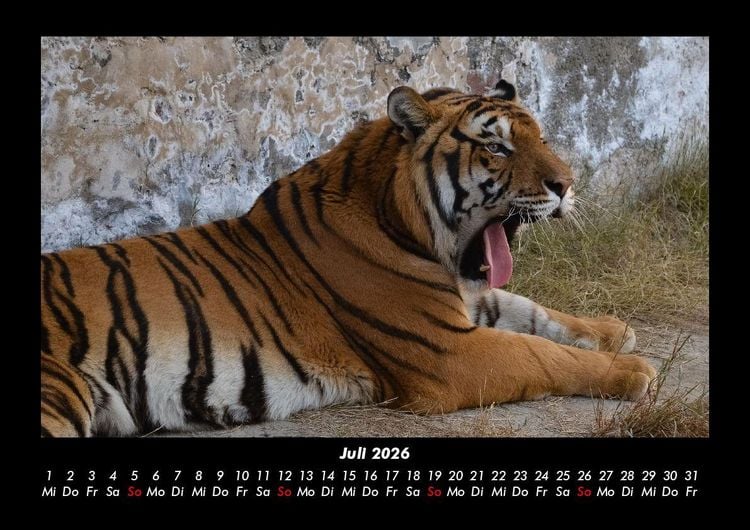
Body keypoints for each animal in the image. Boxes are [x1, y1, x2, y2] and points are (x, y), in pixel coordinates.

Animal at [41, 79, 656, 437]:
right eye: (497, 147)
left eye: (542, 137)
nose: (566, 185)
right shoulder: (449, 353)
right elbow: (539, 354)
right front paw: (632, 370)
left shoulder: (465, 302)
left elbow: (532, 310)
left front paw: (613, 330)